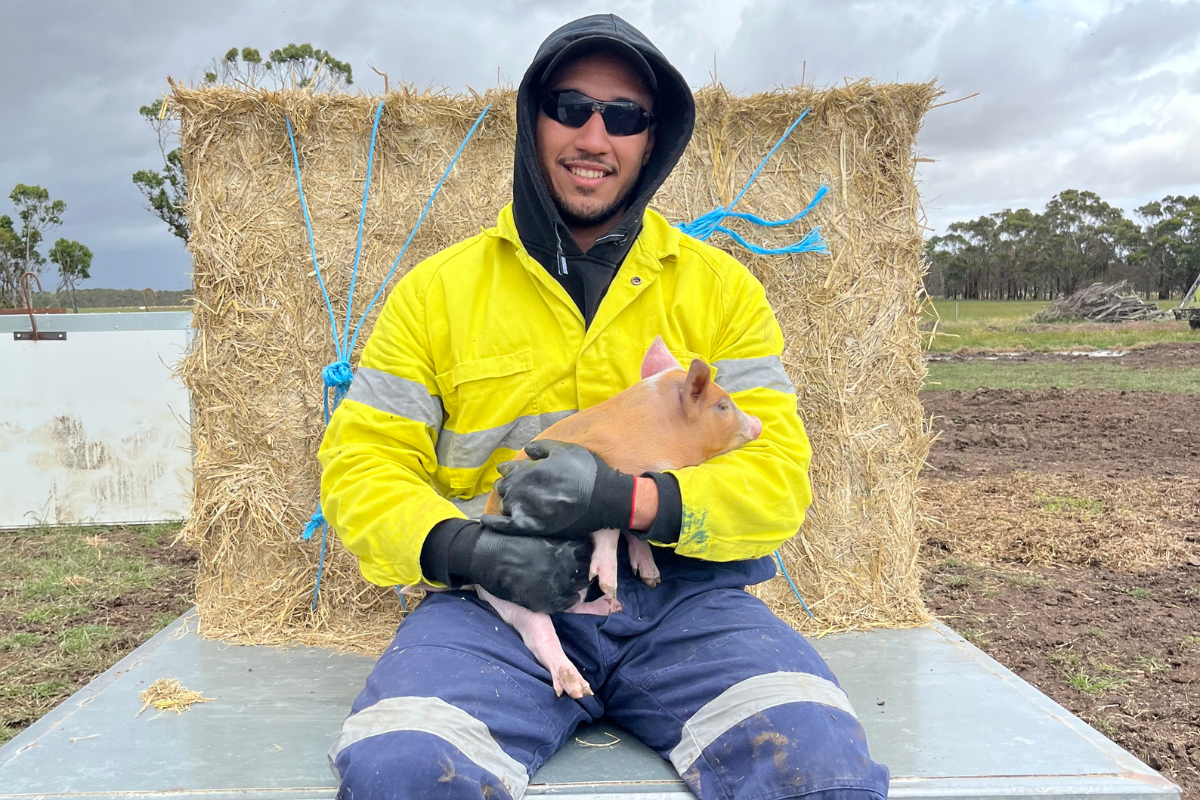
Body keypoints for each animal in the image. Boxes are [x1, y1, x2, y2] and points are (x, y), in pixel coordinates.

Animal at [470, 336, 762, 699]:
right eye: (722, 406)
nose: (758, 423)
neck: (665, 438)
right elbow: (608, 529)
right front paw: (609, 582)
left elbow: (634, 529)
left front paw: (650, 579)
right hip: (514, 590)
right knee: (540, 634)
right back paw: (580, 685)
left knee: (567, 609)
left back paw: (612, 609)